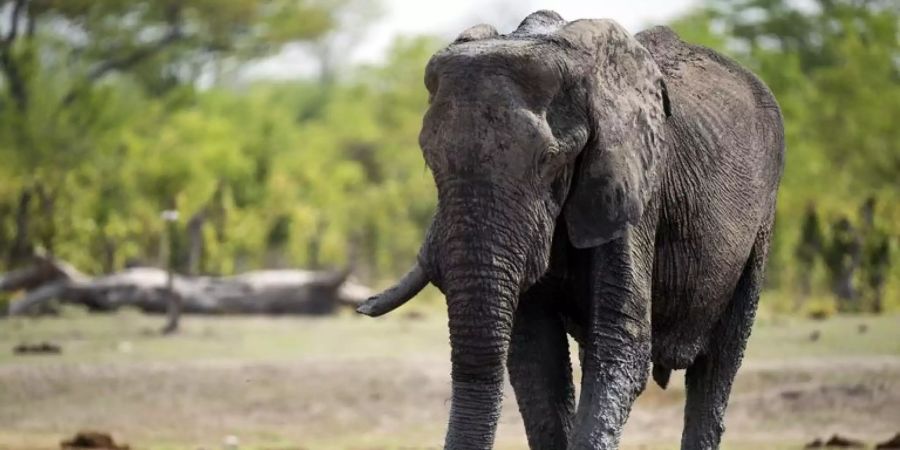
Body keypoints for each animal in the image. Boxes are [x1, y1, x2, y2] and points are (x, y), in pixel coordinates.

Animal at [356, 10, 784, 450]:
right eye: (430, 159)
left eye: (549, 159)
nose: (363, 304)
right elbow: (535, 359)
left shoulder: (634, 182)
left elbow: (620, 346)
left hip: (762, 216)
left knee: (718, 364)